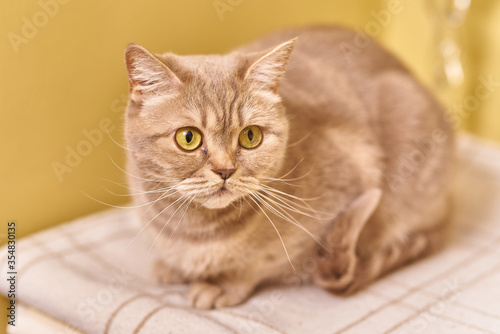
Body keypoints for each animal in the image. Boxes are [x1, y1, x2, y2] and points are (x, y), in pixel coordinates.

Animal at [124, 26, 454, 310]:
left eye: (250, 136)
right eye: (188, 138)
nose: (225, 170)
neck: (193, 232)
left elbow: (256, 265)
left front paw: (220, 284)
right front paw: (172, 267)